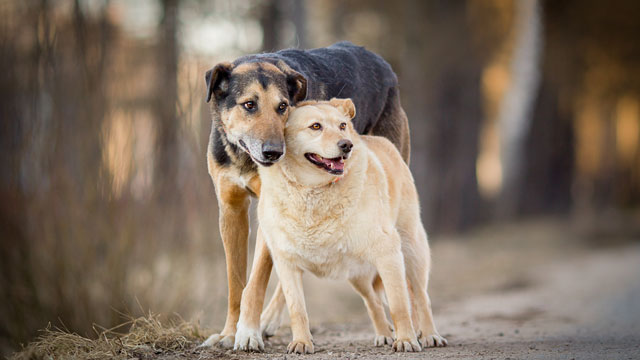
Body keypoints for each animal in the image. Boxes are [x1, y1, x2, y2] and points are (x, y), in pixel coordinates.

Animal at [201, 41, 410, 348]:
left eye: (283, 107)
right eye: (249, 104)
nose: (274, 152)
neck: (245, 156)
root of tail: (384, 66)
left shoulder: (268, 210)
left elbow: (255, 281)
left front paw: (248, 332)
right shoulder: (231, 210)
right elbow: (236, 283)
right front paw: (230, 332)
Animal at [240, 98, 444, 354]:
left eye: (342, 125)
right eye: (315, 126)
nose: (347, 145)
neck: (313, 192)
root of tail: (380, 140)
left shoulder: (388, 253)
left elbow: (399, 304)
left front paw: (406, 339)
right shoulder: (286, 263)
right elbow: (297, 310)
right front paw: (301, 342)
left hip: (411, 250)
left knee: (420, 296)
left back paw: (429, 334)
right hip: (357, 274)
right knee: (373, 301)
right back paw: (384, 334)